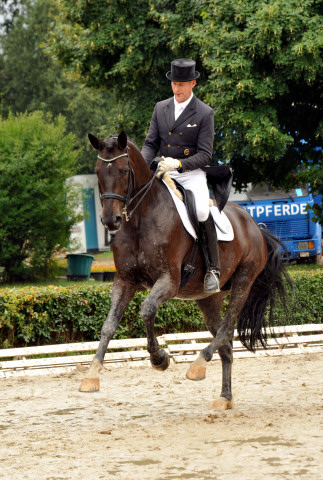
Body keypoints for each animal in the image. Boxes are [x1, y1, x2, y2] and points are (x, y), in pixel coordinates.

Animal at [80, 132, 292, 412]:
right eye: (98, 172)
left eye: (125, 170)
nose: (110, 221)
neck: (140, 220)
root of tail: (255, 225)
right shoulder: (124, 280)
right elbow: (108, 325)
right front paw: (91, 375)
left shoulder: (169, 281)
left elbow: (146, 310)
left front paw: (159, 358)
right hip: (209, 299)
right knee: (225, 343)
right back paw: (225, 397)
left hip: (243, 282)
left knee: (226, 329)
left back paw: (198, 365)